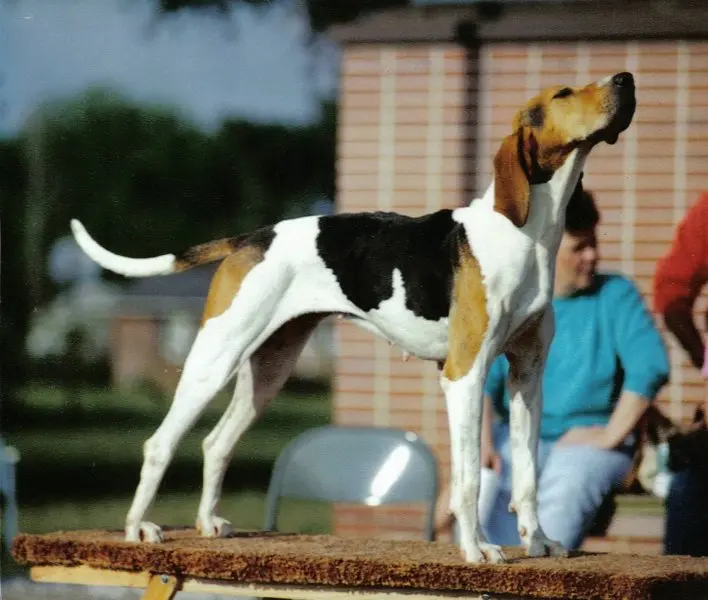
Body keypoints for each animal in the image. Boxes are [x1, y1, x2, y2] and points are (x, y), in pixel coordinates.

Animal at [70, 72, 636, 564]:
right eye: (563, 94)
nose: (625, 79)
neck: (525, 234)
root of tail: (253, 236)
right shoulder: (465, 376)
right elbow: (471, 477)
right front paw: (477, 550)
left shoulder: (527, 378)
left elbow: (529, 476)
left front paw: (538, 543)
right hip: (214, 359)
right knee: (160, 444)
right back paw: (137, 529)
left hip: (269, 370)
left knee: (216, 442)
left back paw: (208, 523)